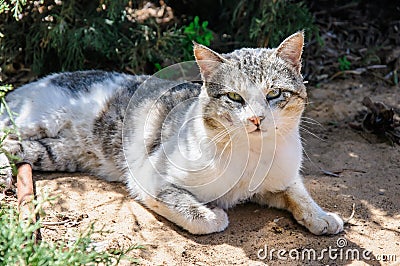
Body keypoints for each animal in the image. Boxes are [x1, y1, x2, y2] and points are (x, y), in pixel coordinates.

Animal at [0, 31, 344, 235]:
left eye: (274, 94)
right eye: (234, 97)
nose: (257, 119)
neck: (253, 154)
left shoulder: (281, 179)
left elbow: (298, 192)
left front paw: (322, 216)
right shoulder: (147, 175)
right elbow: (200, 215)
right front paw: (215, 213)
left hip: (55, 152)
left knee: (16, 147)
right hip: (33, 120)